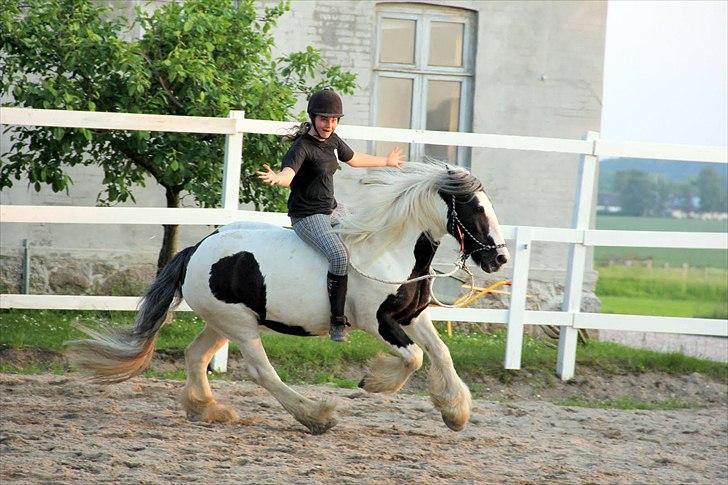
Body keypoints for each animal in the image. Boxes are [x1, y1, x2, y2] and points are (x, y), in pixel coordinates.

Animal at [71, 161, 510, 432]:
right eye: (475, 208)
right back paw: (316, 416)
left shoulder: (411, 317)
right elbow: (414, 358)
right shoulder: (377, 322)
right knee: (263, 373)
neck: (391, 251)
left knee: (195, 356)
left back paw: (209, 410)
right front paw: (372, 382)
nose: (500, 257)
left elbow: (440, 352)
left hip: (223, 323)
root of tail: (196, 251)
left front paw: (455, 413)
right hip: (241, 327)